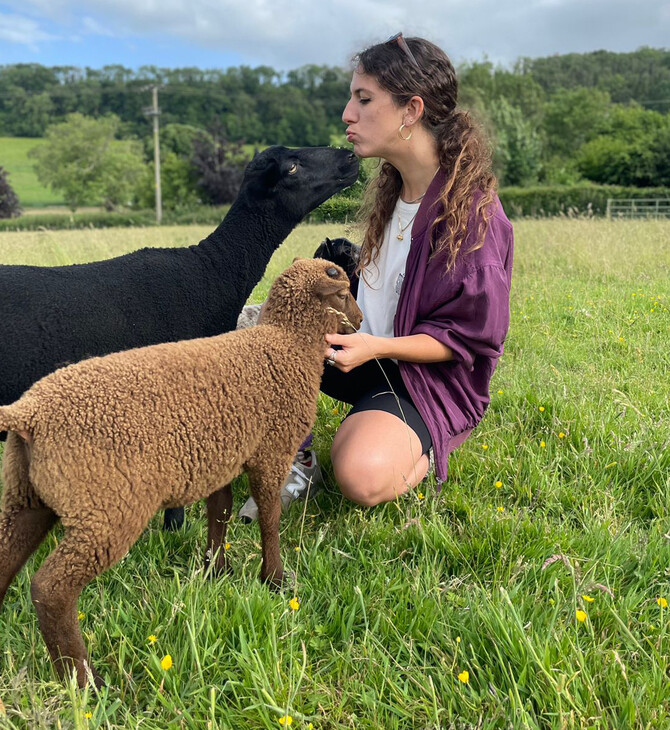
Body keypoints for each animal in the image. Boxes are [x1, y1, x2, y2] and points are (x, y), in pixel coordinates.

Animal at [0, 258, 362, 684]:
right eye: (343, 292)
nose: (359, 321)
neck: (287, 342)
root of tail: (30, 414)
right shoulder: (271, 452)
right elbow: (270, 518)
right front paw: (274, 579)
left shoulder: (224, 457)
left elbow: (220, 512)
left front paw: (216, 571)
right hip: (107, 508)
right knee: (51, 589)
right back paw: (85, 681)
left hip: (26, 497)